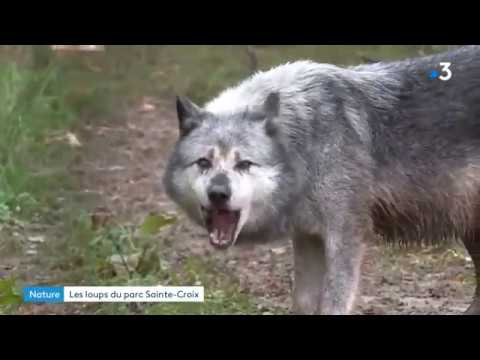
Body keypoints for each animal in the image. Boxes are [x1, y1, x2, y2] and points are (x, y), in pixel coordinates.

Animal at [163, 46, 480, 314]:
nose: (218, 193)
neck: (305, 141)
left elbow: (334, 303)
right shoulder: (308, 236)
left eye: (244, 164)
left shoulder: (346, 235)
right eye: (204, 163)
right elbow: (303, 302)